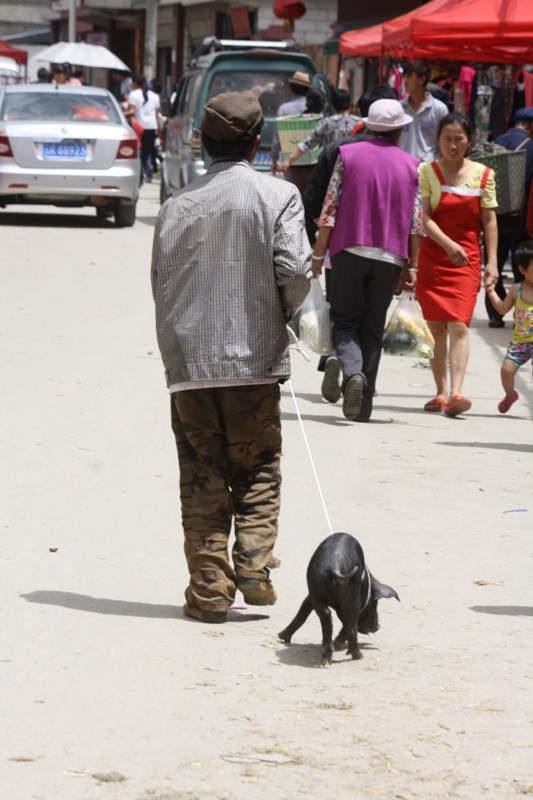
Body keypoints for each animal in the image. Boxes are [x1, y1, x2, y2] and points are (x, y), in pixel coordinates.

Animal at [278, 536, 400, 664]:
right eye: (375, 603)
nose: (378, 627)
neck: (366, 584)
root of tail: (335, 568)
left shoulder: (312, 597)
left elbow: (302, 613)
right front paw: (338, 643)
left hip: (316, 593)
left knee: (326, 618)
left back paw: (327, 657)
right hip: (351, 600)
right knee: (351, 628)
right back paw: (358, 656)